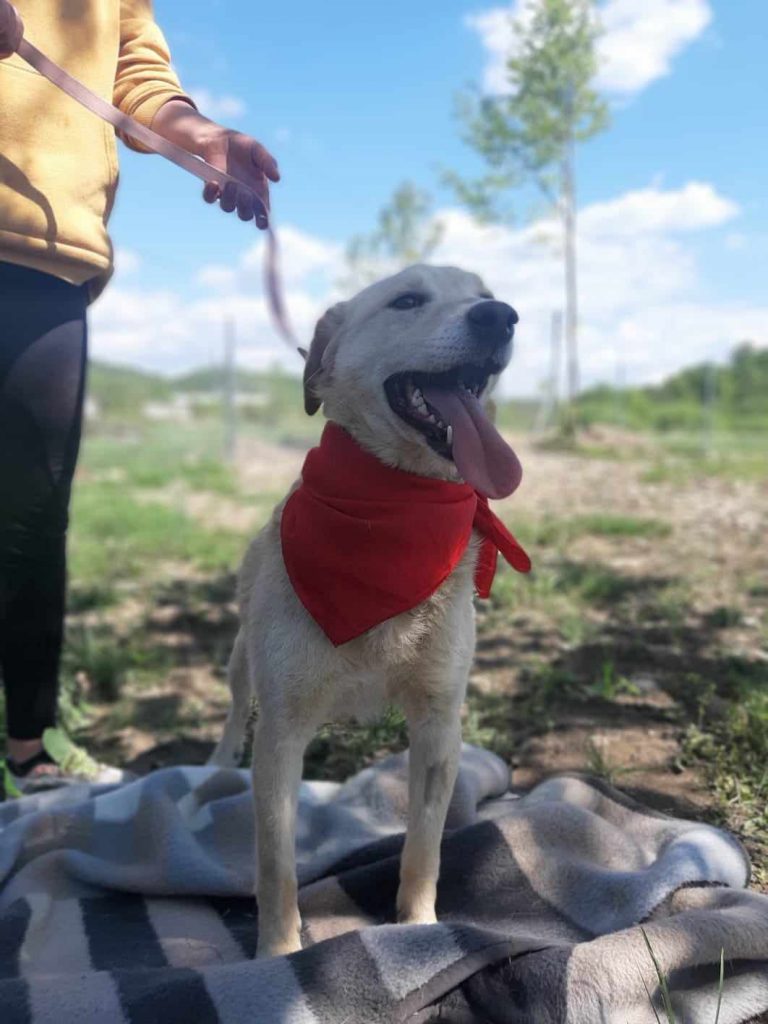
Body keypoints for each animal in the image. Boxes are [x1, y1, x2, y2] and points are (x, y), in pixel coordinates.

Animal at [205, 266, 528, 958]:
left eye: (484, 293)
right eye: (406, 300)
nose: (500, 316)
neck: (392, 509)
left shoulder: (438, 722)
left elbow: (425, 846)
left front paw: (419, 928)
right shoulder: (281, 732)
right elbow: (276, 863)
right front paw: (276, 955)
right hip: (242, 662)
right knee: (233, 714)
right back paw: (214, 771)